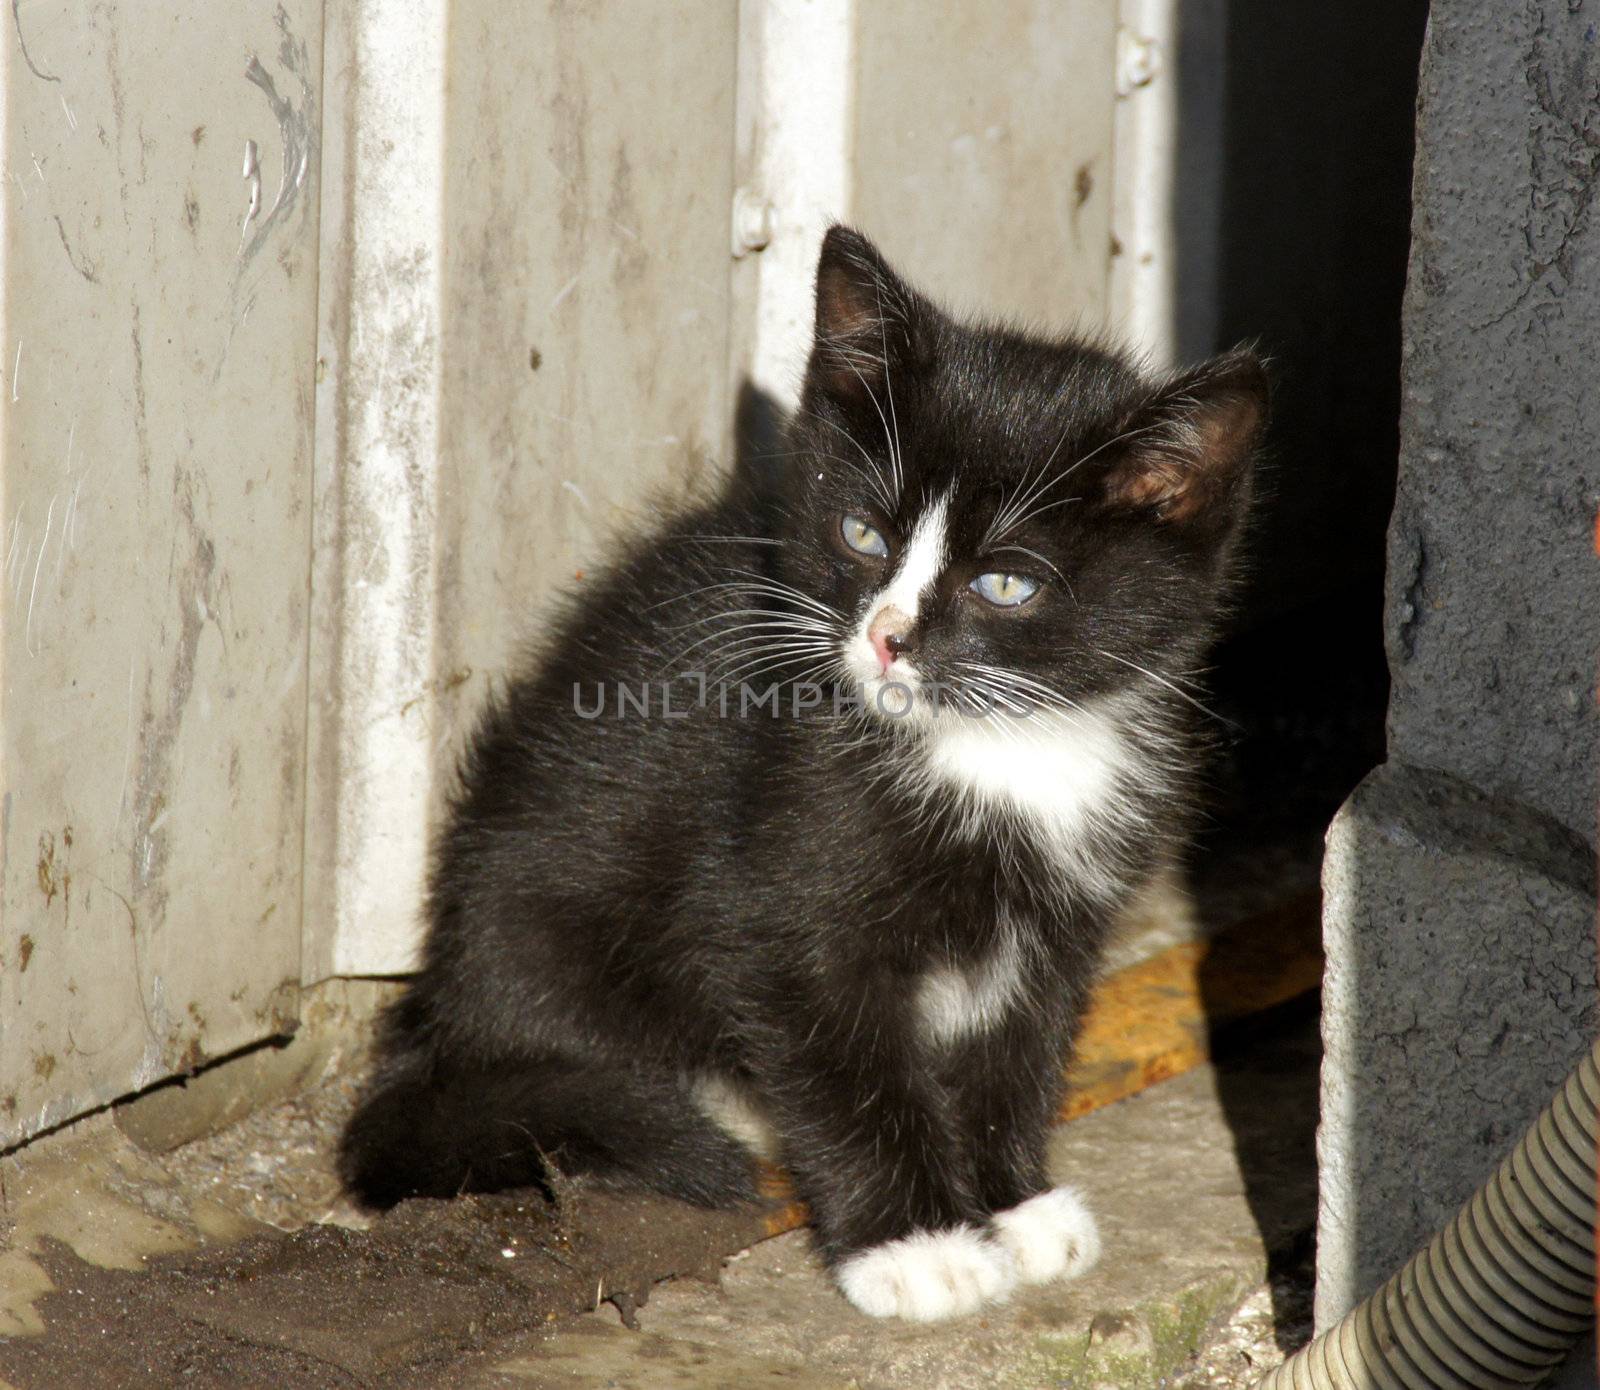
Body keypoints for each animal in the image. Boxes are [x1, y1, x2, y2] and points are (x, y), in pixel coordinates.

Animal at [344, 225, 1267, 1324]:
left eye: (1007, 583)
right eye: (863, 533)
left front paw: (1014, 1204)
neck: (999, 745)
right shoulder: (779, 891)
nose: (885, 636)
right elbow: (844, 1062)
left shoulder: (1059, 920)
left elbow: (1019, 1042)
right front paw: (917, 1244)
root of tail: (441, 1005)